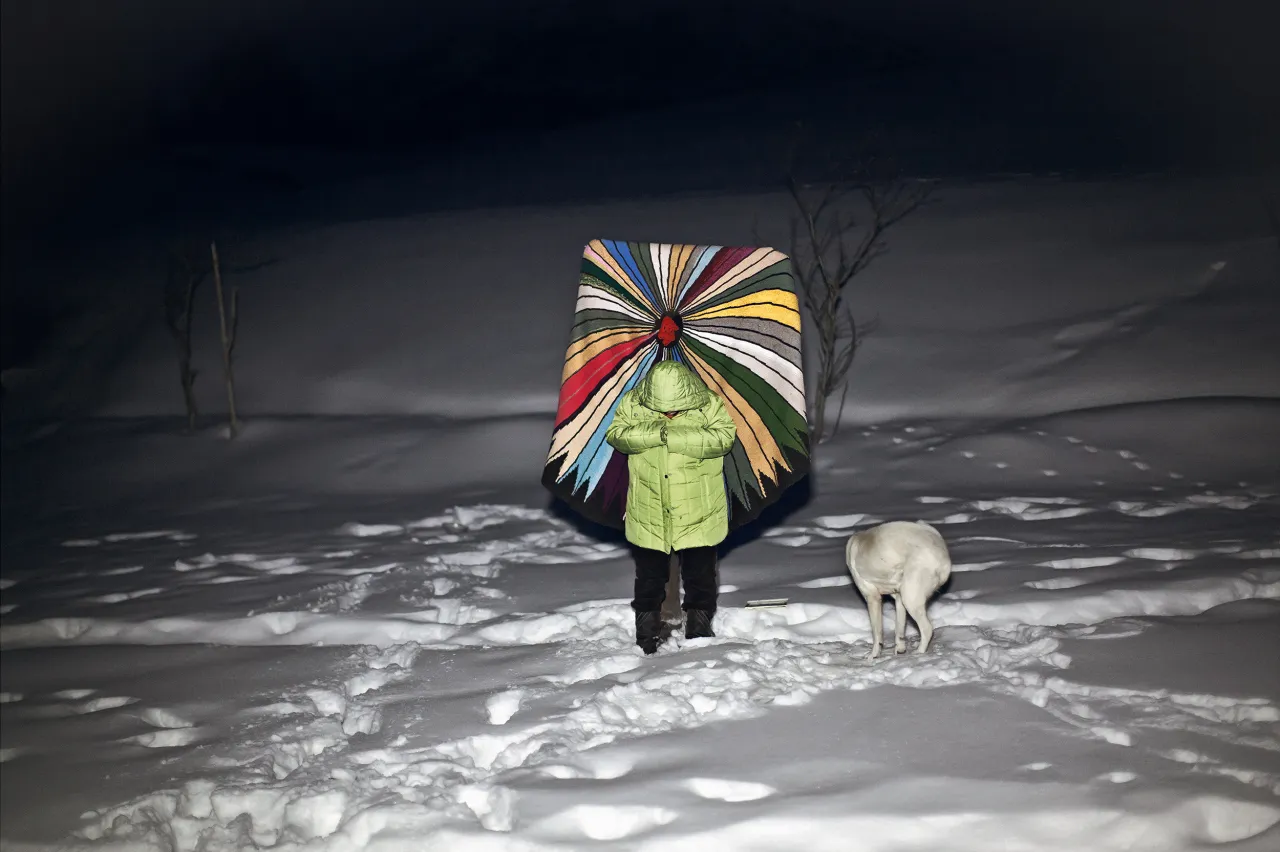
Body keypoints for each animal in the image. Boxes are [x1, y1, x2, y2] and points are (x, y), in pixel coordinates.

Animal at [849, 516, 952, 654]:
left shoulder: (872, 597)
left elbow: (877, 635)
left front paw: (873, 655)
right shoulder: (898, 597)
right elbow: (899, 629)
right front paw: (900, 649)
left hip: (910, 598)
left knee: (927, 629)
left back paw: (919, 653)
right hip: (906, 595)